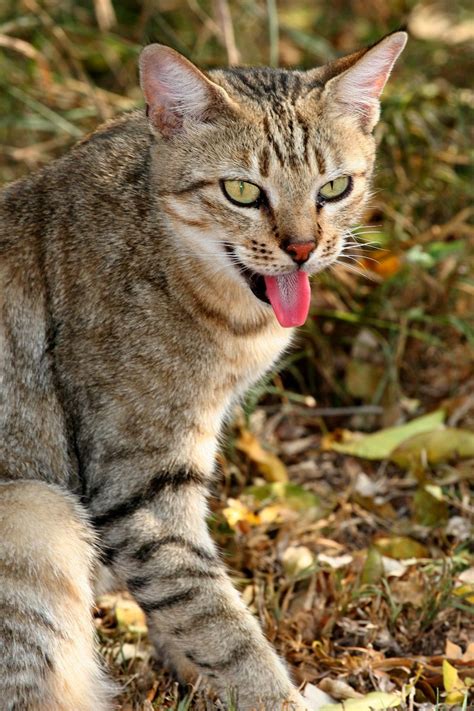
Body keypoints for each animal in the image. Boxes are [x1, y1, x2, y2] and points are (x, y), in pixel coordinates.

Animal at [0, 30, 408, 708]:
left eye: (333, 189)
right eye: (242, 191)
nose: (303, 248)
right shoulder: (142, 486)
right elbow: (212, 614)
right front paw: (272, 694)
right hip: (37, 513)